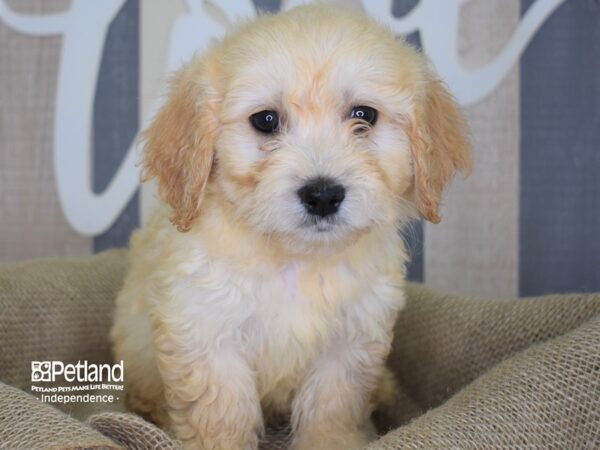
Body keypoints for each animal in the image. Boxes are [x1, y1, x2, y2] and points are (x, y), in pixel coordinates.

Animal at [110, 4, 472, 450]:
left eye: (364, 116)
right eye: (266, 120)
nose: (322, 195)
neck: (296, 260)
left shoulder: (349, 346)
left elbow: (332, 410)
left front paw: (333, 441)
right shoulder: (206, 336)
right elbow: (220, 417)